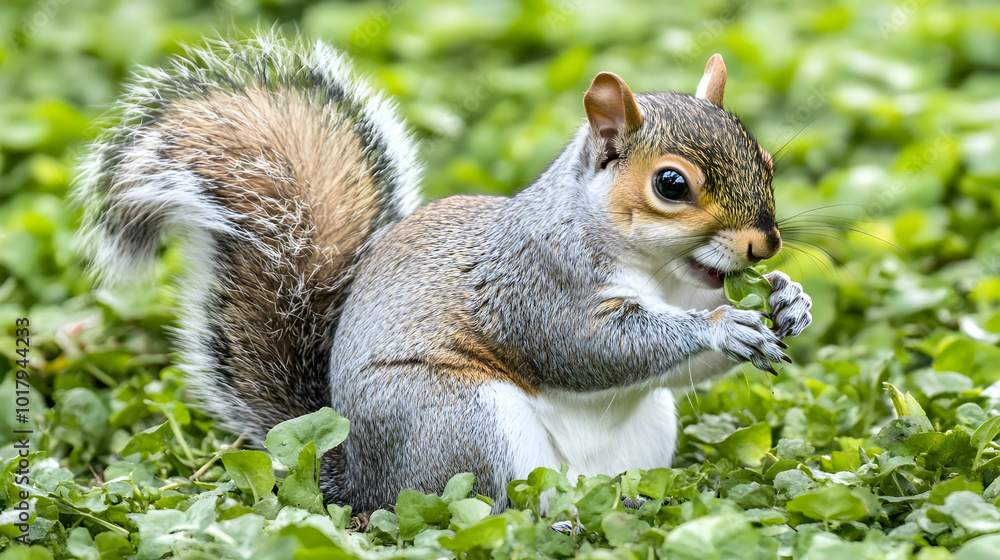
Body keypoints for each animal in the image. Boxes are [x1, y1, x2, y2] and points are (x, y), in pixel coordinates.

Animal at [76, 32, 812, 513]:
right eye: (670, 184)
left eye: (767, 160)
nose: (765, 246)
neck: (653, 271)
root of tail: (359, 482)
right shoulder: (533, 285)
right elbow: (586, 348)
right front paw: (723, 327)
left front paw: (790, 304)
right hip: (456, 423)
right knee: (487, 507)